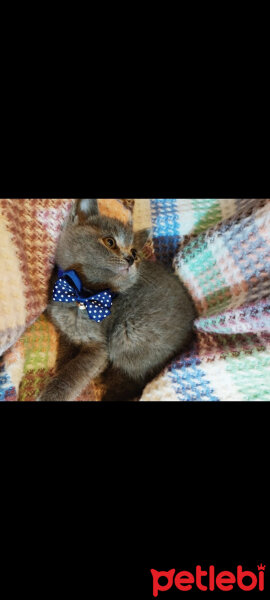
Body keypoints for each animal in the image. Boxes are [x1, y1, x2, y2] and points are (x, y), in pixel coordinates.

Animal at [38, 199, 196, 400]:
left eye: (135, 252)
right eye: (110, 242)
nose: (130, 258)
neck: (82, 295)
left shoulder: (99, 348)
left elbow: (73, 372)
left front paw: (52, 393)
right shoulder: (65, 333)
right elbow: (65, 356)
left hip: (128, 335)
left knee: (132, 380)